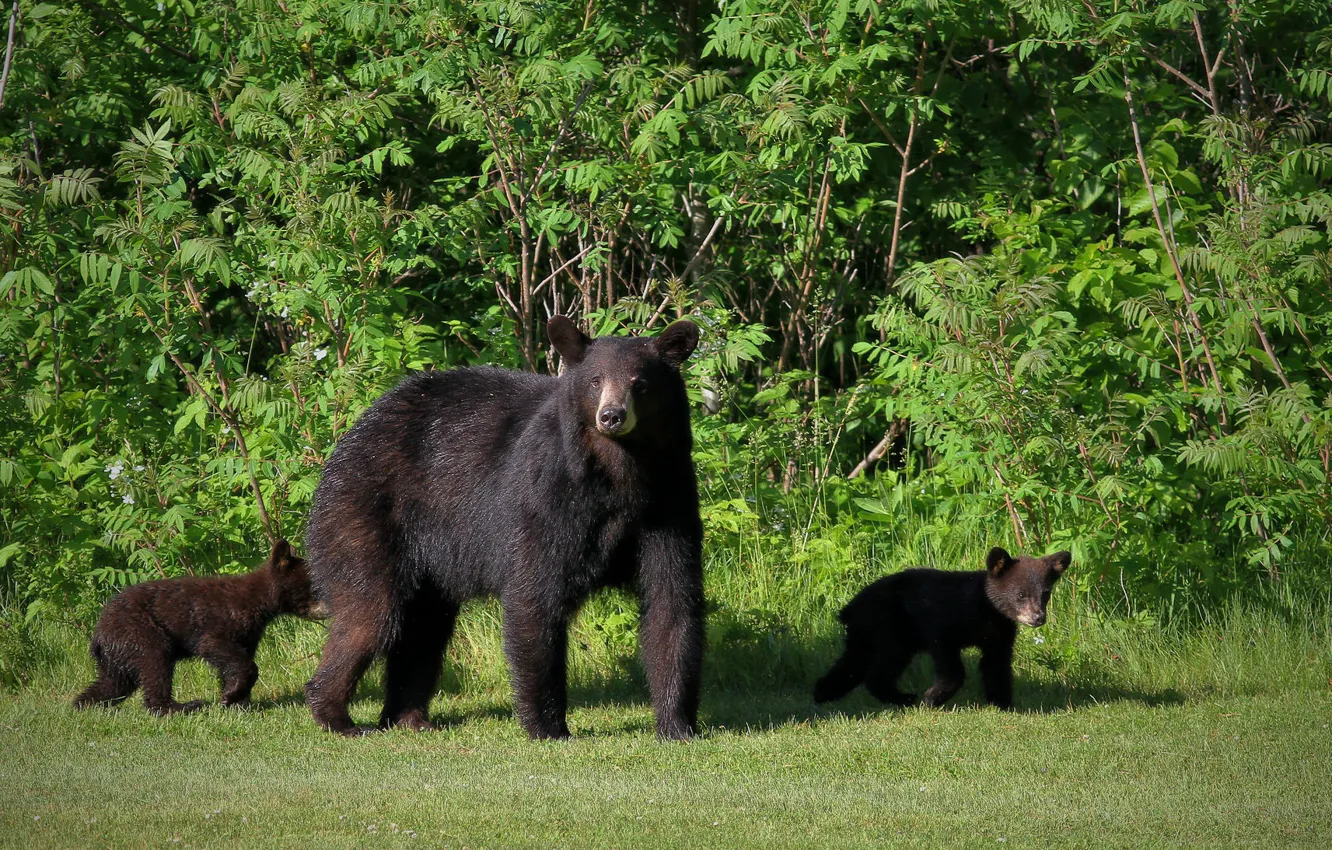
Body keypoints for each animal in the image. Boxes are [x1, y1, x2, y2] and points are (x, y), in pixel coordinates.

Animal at [73, 539, 325, 715]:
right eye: (314, 586)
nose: (328, 609)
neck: (258, 601)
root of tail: (98, 634)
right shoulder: (223, 622)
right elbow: (219, 649)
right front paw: (231, 696)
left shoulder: (249, 633)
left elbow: (233, 662)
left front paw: (237, 701)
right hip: (138, 631)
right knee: (155, 662)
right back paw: (178, 707)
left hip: (119, 651)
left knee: (114, 683)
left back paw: (84, 704)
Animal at [302, 315, 704, 740]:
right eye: (596, 380)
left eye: (639, 383)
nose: (611, 415)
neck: (620, 476)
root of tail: (354, 431)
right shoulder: (549, 497)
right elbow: (536, 595)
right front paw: (548, 726)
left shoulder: (667, 505)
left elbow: (671, 601)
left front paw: (677, 724)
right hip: (368, 514)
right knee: (372, 612)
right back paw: (336, 715)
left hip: (428, 558)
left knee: (424, 627)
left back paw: (409, 718)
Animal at [813, 547, 1071, 710]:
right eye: (1021, 594)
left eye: (1045, 594)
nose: (1038, 618)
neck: (985, 609)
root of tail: (850, 607)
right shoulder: (942, 625)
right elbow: (950, 665)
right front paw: (931, 698)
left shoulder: (1000, 634)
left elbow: (996, 664)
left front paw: (1002, 704)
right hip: (890, 630)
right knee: (881, 666)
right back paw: (904, 698)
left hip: (865, 634)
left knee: (851, 664)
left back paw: (822, 694)